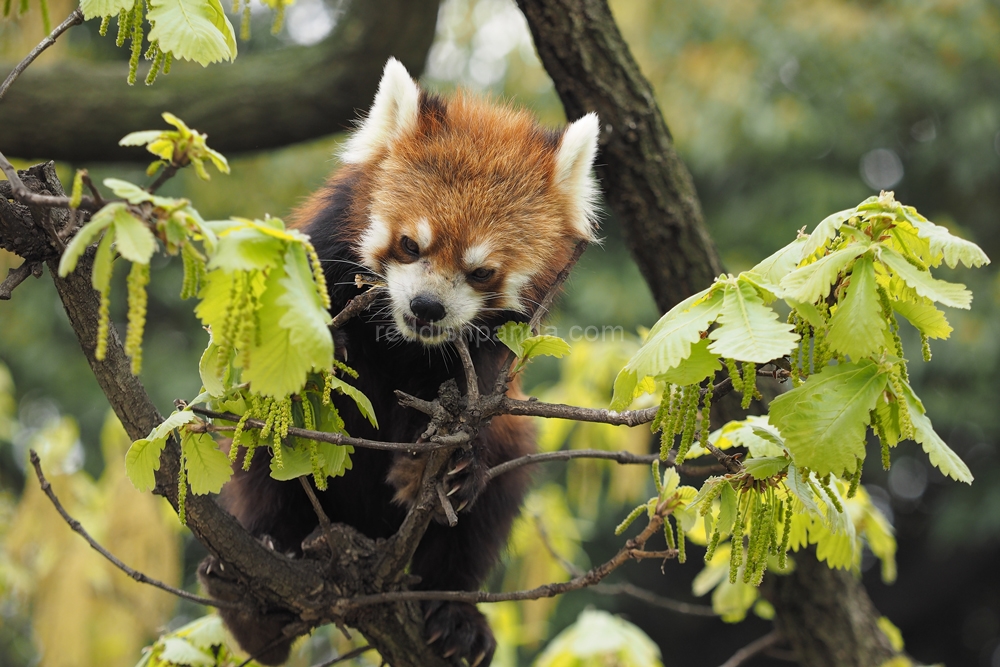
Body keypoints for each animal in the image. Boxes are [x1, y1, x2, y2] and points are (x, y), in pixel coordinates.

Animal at [199, 58, 596, 667]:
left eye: (481, 272)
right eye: (411, 244)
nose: (426, 307)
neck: (402, 340)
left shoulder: (489, 358)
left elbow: (470, 402)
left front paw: (444, 461)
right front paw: (326, 349)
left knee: (490, 502)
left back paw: (455, 615)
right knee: (260, 464)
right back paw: (254, 598)